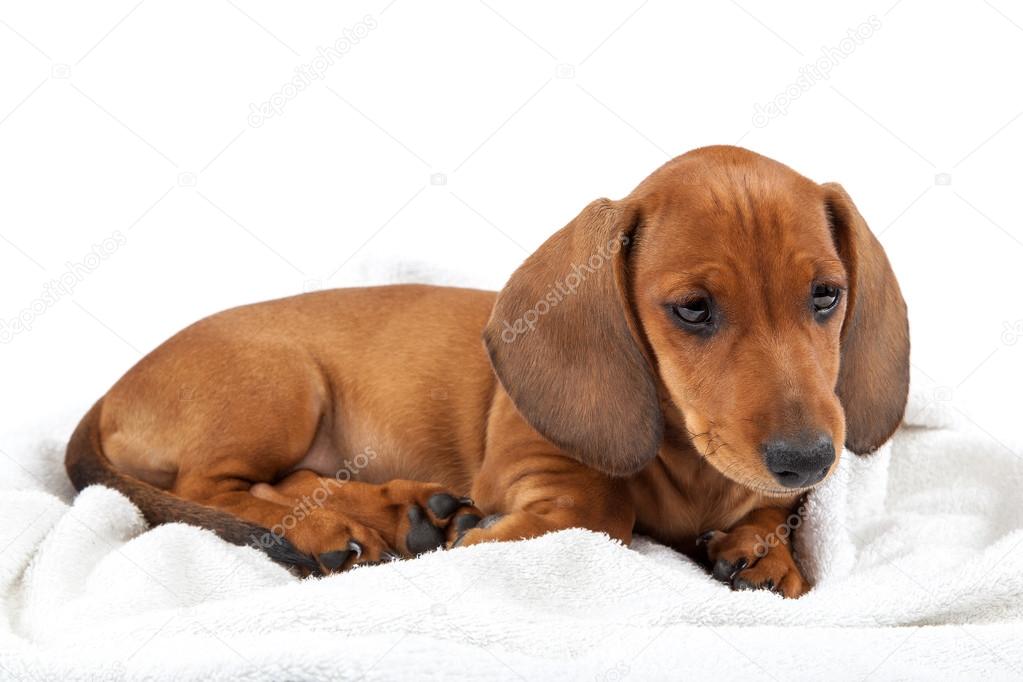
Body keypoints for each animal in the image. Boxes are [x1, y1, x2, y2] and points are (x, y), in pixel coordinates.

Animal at [65, 145, 912, 597]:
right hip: (284, 384)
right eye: (693, 309)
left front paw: (765, 550)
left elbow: (775, 513)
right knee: (214, 490)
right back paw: (342, 526)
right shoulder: (528, 462)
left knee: (284, 483)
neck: (687, 462)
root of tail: (105, 395)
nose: (808, 458)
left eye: (825, 295)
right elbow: (597, 510)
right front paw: (493, 535)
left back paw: (394, 510)